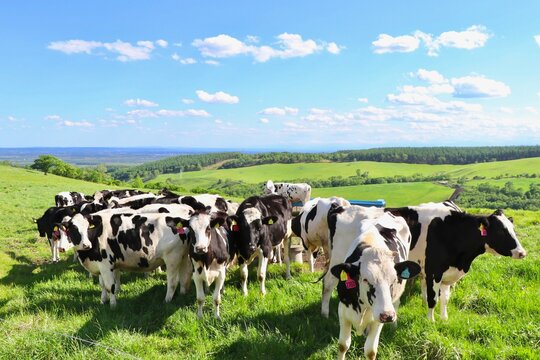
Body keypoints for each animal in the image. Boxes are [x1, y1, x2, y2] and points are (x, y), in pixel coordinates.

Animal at [63, 211, 192, 306]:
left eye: (87, 228)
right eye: (74, 229)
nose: (86, 245)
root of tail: (178, 219)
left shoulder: (106, 265)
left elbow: (110, 286)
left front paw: (113, 305)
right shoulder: (101, 265)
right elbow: (102, 285)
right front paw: (103, 301)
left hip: (172, 259)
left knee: (173, 282)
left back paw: (167, 300)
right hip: (183, 258)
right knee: (184, 278)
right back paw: (182, 294)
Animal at [330, 212, 422, 358]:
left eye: (394, 279)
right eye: (365, 280)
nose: (388, 315)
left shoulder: (378, 319)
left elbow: (370, 351)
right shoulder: (343, 311)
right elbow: (343, 345)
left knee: (396, 303)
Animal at [386, 201, 524, 322]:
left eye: (513, 228)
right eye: (500, 231)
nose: (522, 252)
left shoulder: (447, 274)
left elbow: (445, 299)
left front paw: (444, 319)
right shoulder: (433, 272)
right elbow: (433, 299)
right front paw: (431, 321)